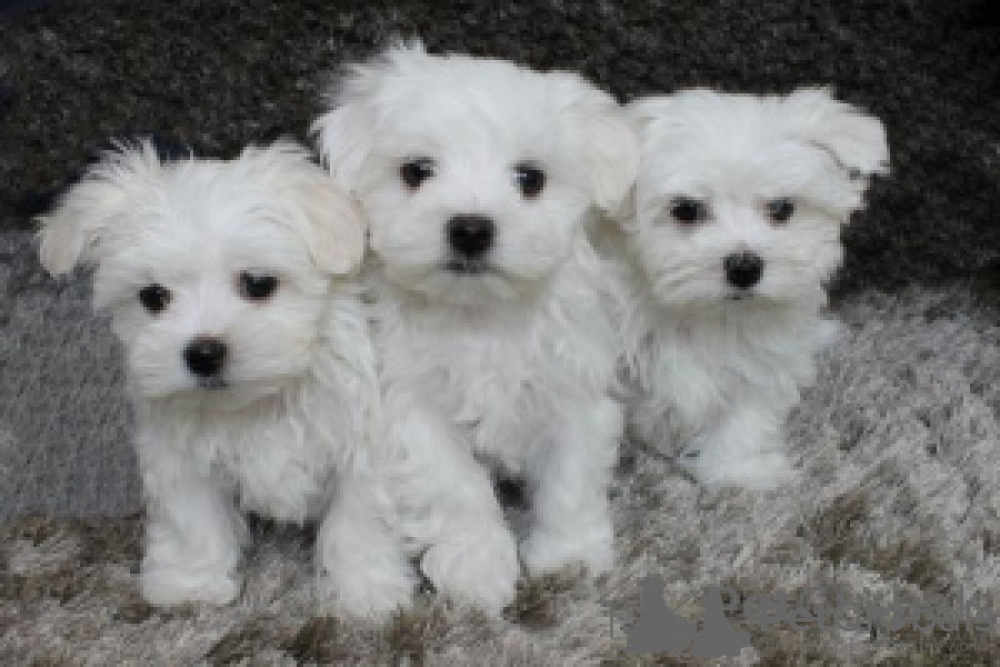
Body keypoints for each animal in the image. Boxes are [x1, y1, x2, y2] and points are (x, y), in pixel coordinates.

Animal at [36, 140, 414, 618]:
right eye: (153, 297)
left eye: (258, 283)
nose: (203, 353)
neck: (261, 399)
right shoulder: (179, 457)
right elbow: (193, 520)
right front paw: (190, 585)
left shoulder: (363, 444)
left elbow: (359, 521)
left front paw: (365, 593)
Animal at [313, 42, 638, 611]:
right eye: (417, 171)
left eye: (530, 179)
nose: (470, 228)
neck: (481, 316)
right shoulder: (412, 408)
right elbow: (457, 486)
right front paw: (478, 569)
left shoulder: (575, 389)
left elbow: (571, 478)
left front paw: (569, 557)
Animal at [606, 87, 889, 490]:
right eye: (686, 210)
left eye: (782, 208)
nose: (744, 266)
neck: (706, 314)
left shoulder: (765, 362)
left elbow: (745, 420)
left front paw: (734, 472)